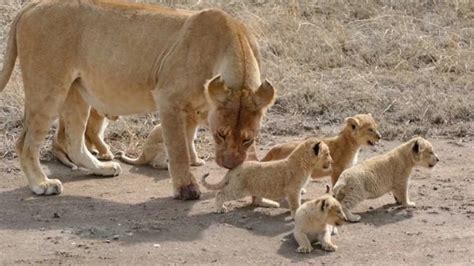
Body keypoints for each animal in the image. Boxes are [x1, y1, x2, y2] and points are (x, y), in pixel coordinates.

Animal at [0, 0, 276, 200]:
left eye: (248, 138)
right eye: (219, 134)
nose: (229, 164)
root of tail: (33, 5)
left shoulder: (193, 111)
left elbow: (190, 143)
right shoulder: (168, 99)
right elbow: (178, 148)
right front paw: (186, 189)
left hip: (76, 92)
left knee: (74, 140)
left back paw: (101, 168)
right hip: (47, 88)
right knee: (25, 143)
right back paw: (41, 183)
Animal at [202, 138, 332, 217]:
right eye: (327, 153)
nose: (332, 161)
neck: (306, 164)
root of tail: (233, 169)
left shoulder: (295, 190)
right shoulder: (292, 190)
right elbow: (295, 203)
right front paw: (296, 213)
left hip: (257, 187)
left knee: (257, 200)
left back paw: (272, 203)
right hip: (238, 190)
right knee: (220, 193)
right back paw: (219, 208)